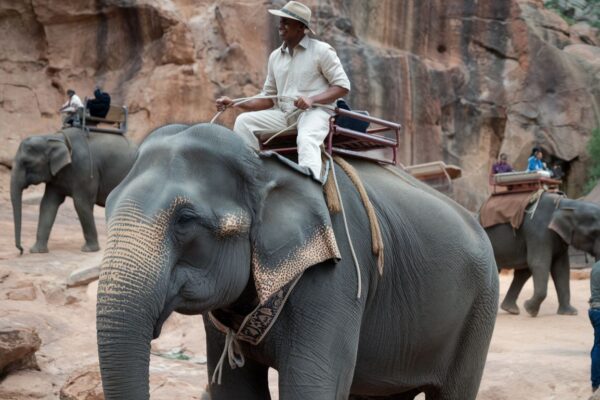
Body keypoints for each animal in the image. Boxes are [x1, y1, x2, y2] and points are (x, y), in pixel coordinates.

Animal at [95, 123, 496, 400]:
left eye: (185, 220)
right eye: (109, 204)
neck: (265, 165)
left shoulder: (336, 276)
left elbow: (311, 386)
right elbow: (235, 390)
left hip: (479, 310)